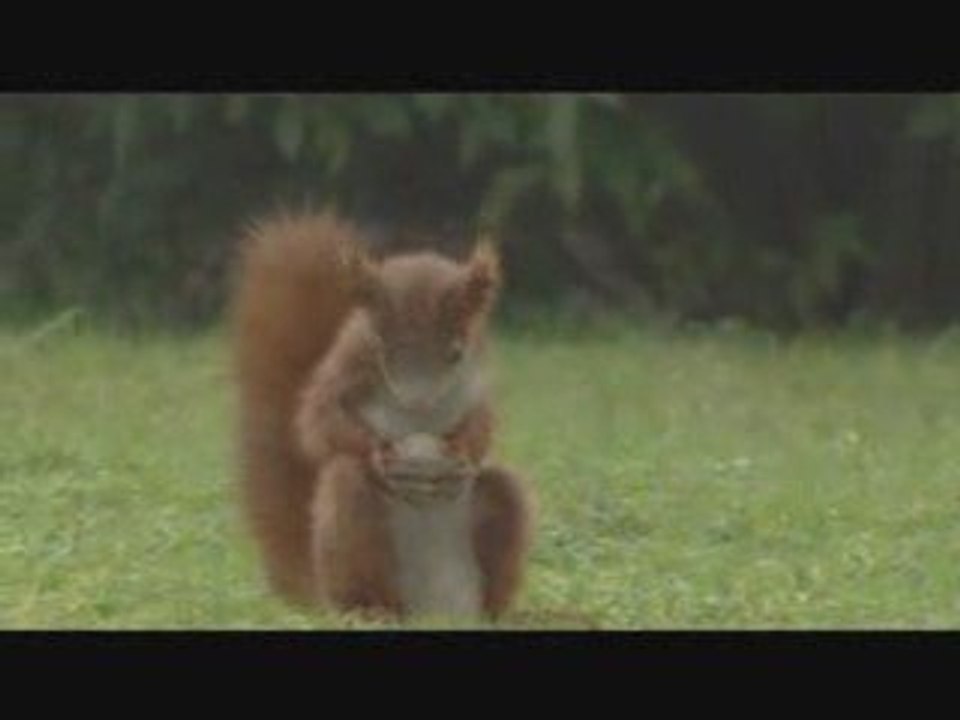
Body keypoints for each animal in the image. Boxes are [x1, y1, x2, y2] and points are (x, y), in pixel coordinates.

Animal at [231, 211, 534, 620]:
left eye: (455, 352)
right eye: (384, 348)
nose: (418, 397)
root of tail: (430, 611)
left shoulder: (478, 375)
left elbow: (482, 424)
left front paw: (460, 455)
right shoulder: (349, 360)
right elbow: (317, 420)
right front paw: (379, 455)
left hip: (498, 512)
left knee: (503, 494)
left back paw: (499, 615)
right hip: (354, 535)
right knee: (349, 490)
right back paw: (370, 610)